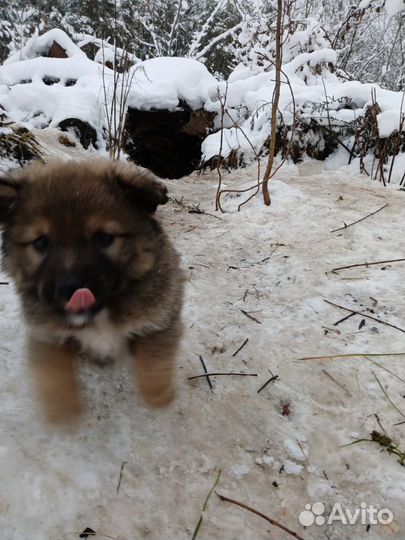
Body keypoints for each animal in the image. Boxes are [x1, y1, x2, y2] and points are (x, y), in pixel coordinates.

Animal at [0, 157, 183, 422]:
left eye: (104, 238)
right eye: (41, 242)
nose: (70, 289)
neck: (100, 315)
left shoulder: (159, 319)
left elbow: (154, 361)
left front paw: (158, 396)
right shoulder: (48, 334)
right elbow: (53, 373)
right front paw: (62, 412)